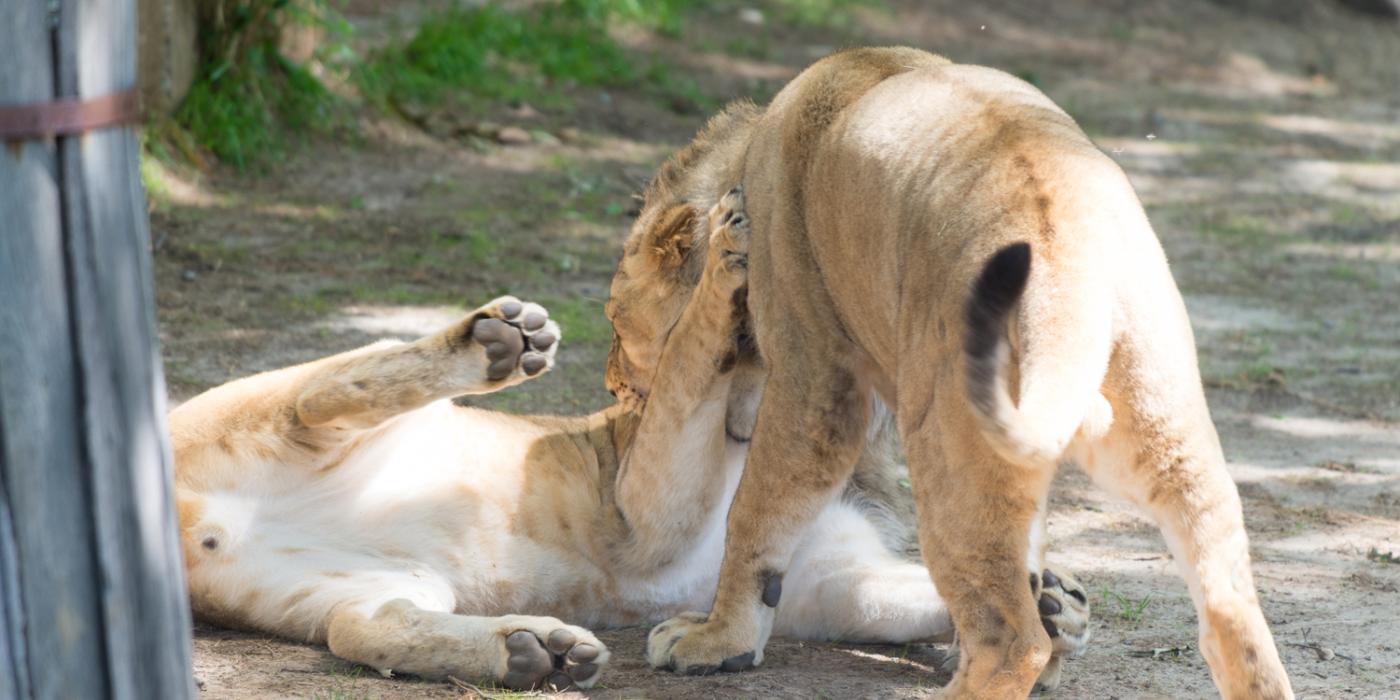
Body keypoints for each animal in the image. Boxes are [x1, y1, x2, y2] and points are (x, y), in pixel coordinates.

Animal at [172, 187, 1092, 694]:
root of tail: (186, 521)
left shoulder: (828, 584)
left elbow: (917, 595)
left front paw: (1052, 605)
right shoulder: (643, 510)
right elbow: (689, 355)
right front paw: (730, 242)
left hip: (356, 584)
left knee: (362, 629)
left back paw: (532, 652)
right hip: (272, 410)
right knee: (322, 393)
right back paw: (500, 342)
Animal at [607, 46, 1293, 697]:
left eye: (616, 325)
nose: (615, 389)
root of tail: (1062, 242)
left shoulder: (814, 380)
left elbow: (753, 516)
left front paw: (717, 640)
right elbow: (1029, 559)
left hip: (946, 449)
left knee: (1012, 643)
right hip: (1172, 447)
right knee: (1232, 623)